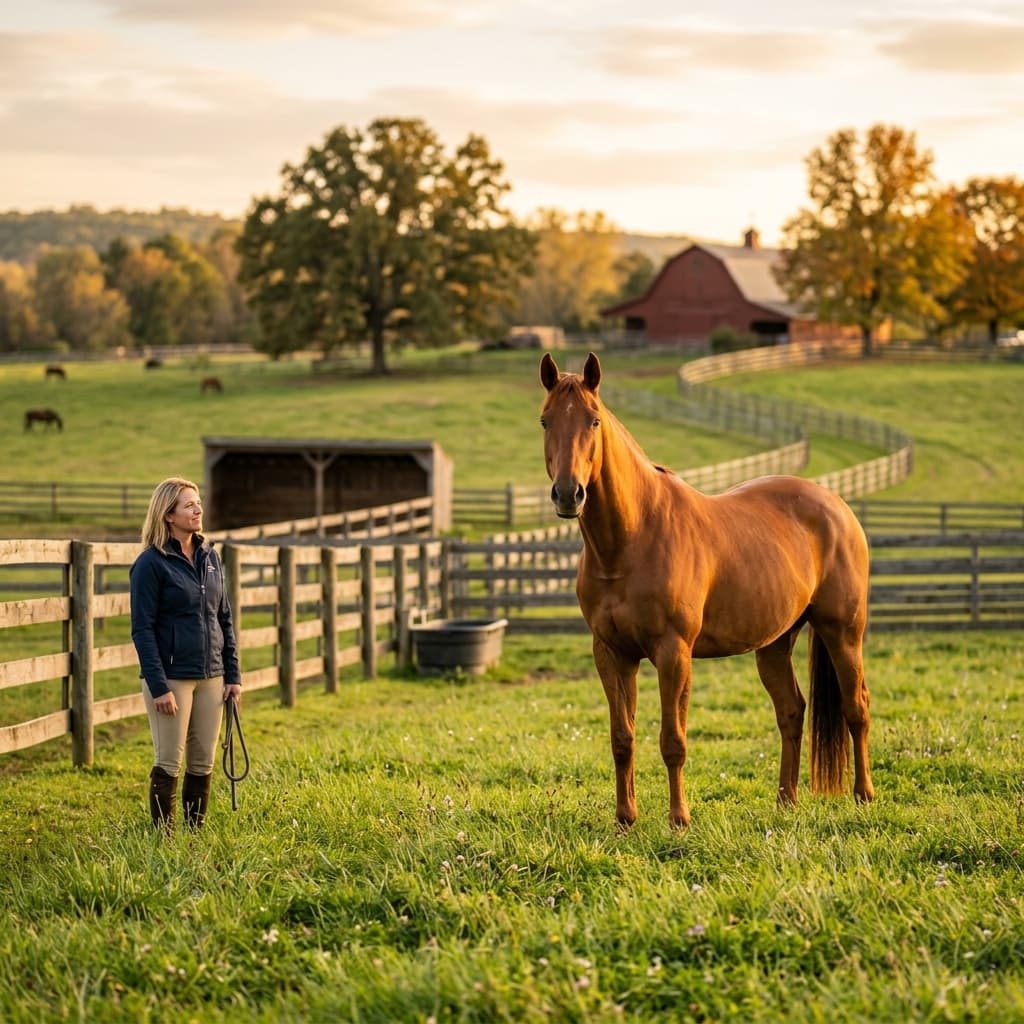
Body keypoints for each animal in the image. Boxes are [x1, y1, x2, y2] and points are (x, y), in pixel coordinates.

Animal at [539, 352, 874, 829]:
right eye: (545, 421)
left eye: (594, 420)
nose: (569, 494)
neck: (632, 538)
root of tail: (837, 506)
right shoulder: (611, 653)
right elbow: (622, 738)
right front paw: (625, 818)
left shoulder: (673, 652)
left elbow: (673, 740)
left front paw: (679, 819)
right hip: (775, 644)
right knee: (791, 712)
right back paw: (785, 800)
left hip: (842, 632)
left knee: (856, 708)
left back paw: (863, 795)